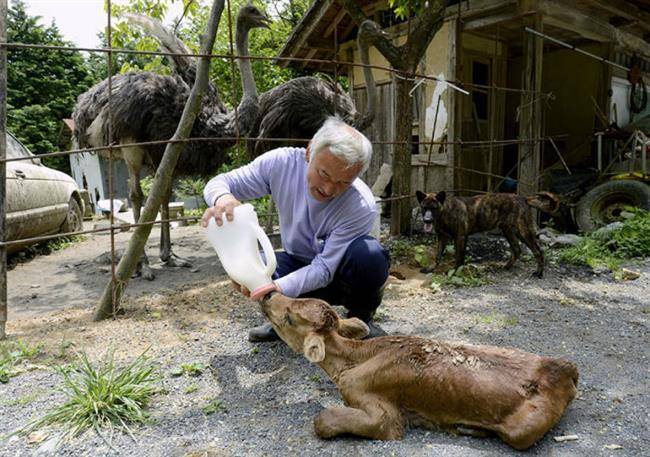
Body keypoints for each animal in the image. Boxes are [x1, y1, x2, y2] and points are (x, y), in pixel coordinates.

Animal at [260, 292, 576, 448]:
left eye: (289, 317)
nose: (268, 295)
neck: (352, 361)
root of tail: (567, 369)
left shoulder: (384, 415)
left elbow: (323, 420)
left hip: (525, 429)